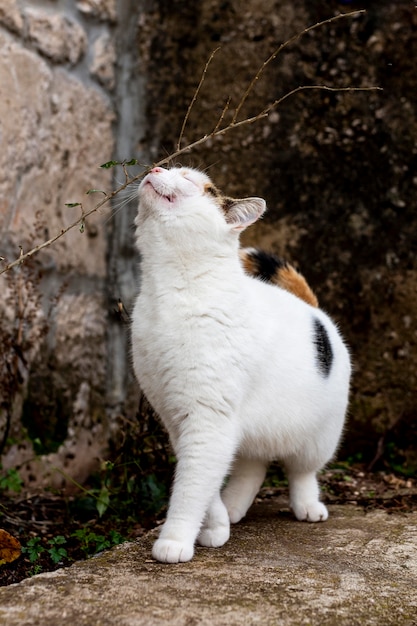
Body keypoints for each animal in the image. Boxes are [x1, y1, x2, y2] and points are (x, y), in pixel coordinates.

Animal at [131, 165, 352, 560]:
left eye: (191, 180)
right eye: (171, 169)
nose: (156, 167)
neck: (167, 288)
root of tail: (313, 308)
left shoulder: (207, 420)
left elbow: (190, 488)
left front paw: (175, 540)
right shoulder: (178, 419)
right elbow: (201, 480)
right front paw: (215, 523)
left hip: (319, 437)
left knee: (301, 473)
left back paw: (307, 506)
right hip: (253, 430)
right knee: (254, 466)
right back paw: (233, 507)